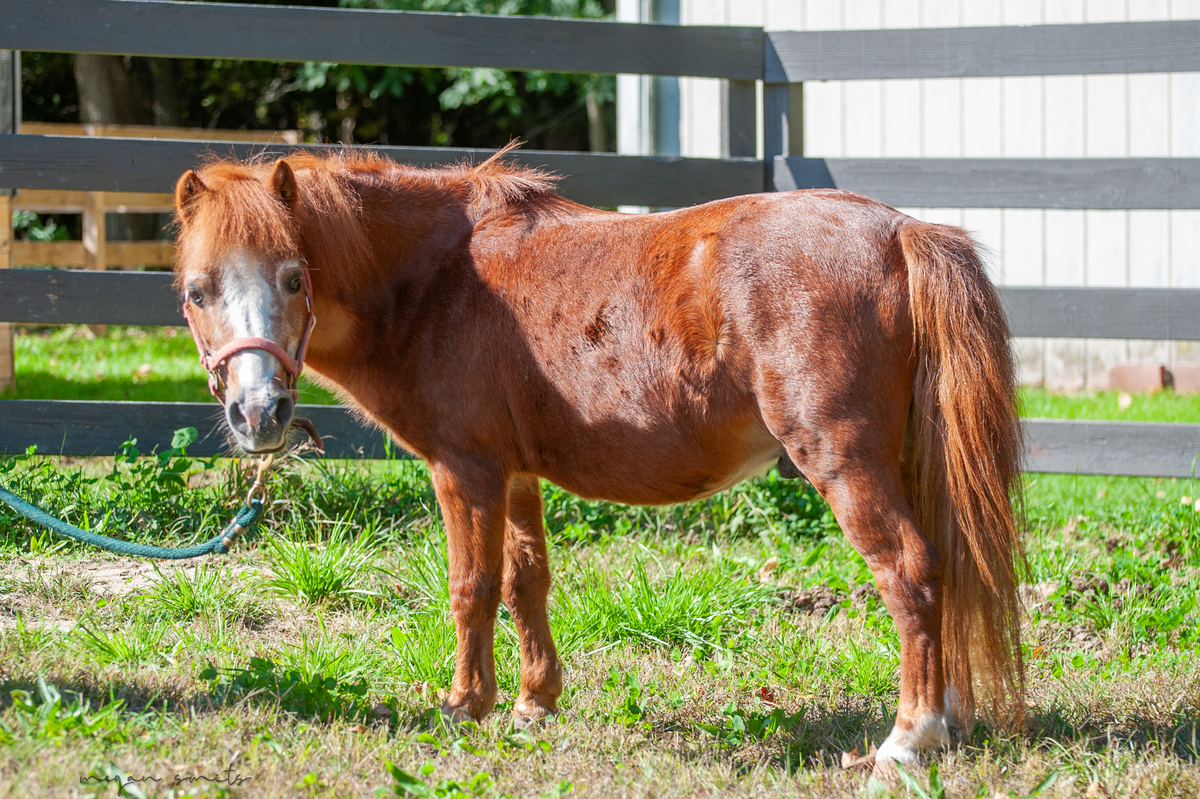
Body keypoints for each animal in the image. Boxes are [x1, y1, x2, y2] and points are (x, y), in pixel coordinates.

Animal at [171, 146, 1025, 767]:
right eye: (196, 292)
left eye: (294, 277)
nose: (258, 413)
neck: (439, 281)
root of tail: (901, 232)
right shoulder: (514, 474)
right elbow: (525, 582)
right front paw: (531, 703)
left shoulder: (464, 470)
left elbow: (471, 586)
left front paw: (463, 705)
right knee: (944, 570)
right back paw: (944, 719)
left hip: (844, 461)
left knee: (910, 571)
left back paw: (907, 740)